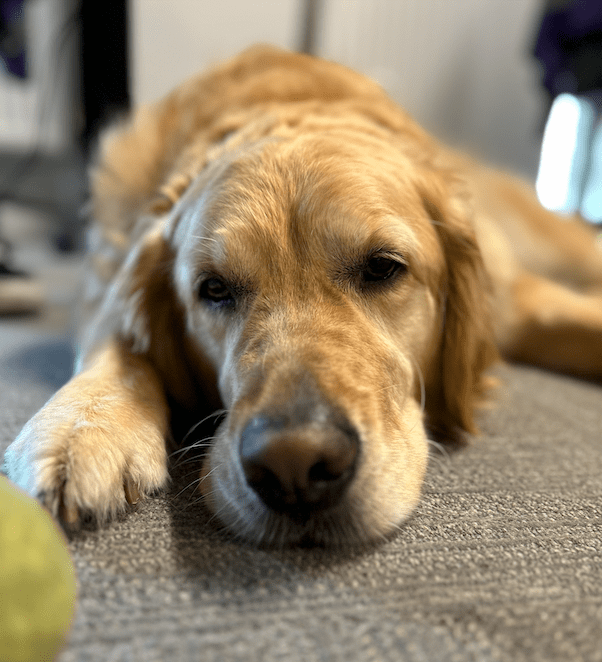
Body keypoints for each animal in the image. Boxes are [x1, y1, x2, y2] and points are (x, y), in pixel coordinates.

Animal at [4, 45, 600, 544]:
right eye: (213, 289)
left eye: (383, 267)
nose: (293, 466)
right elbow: (119, 339)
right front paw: (83, 424)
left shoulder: (518, 300)